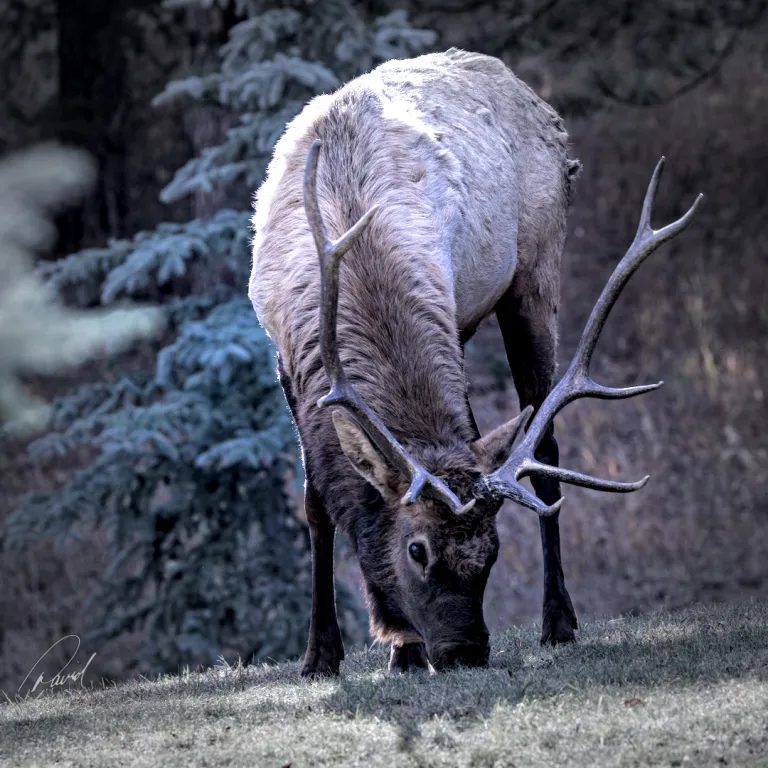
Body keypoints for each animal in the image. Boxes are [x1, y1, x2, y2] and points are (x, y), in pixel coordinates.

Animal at [250, 48, 704, 676]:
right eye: (416, 549)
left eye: (492, 552)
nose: (466, 652)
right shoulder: (286, 360)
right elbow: (316, 501)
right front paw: (324, 654)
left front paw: (399, 646)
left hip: (533, 273)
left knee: (545, 442)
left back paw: (558, 620)